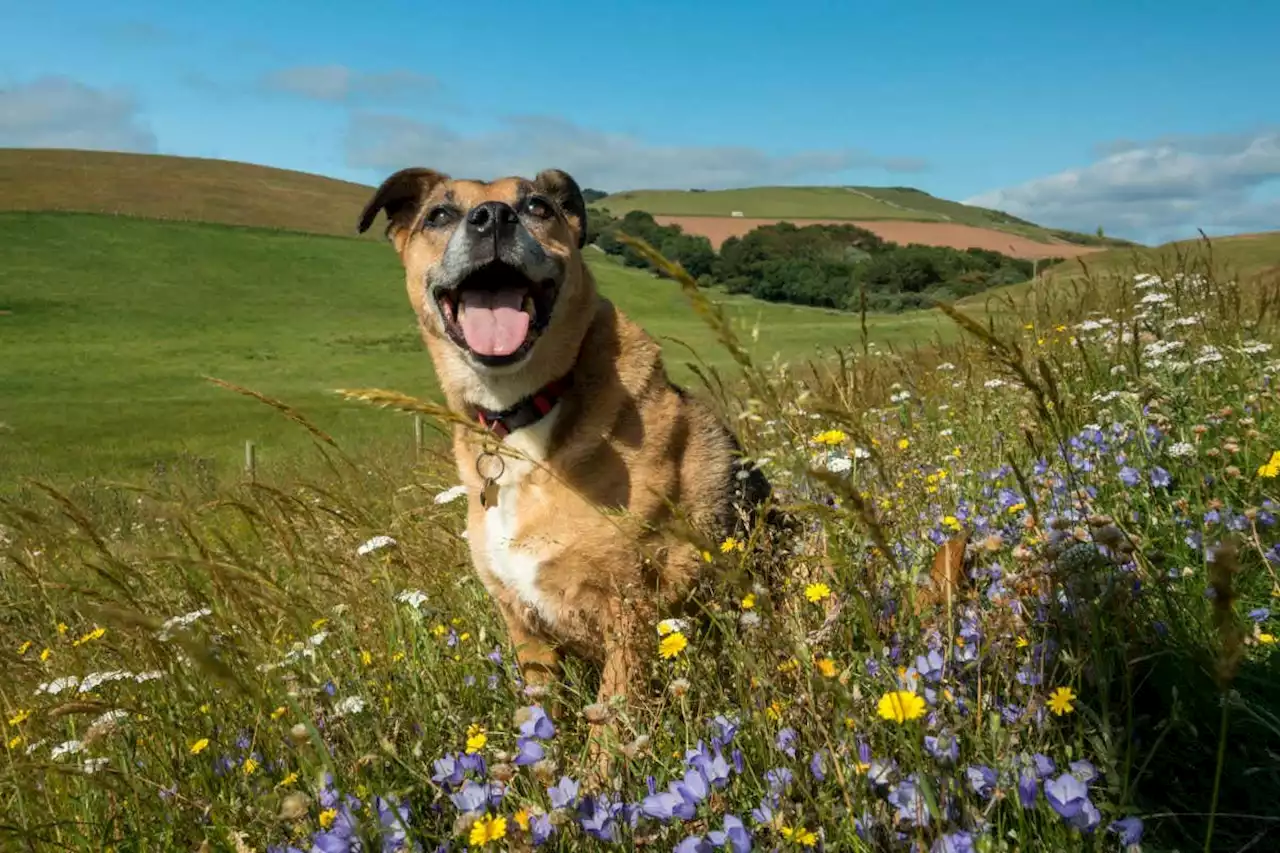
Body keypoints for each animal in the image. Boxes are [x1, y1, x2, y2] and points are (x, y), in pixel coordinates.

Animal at [355, 167, 768, 722]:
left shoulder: (631, 611)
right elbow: (540, 718)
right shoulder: (522, 624)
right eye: (439, 214)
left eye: (537, 207)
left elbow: (610, 726)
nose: (492, 217)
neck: (523, 413)